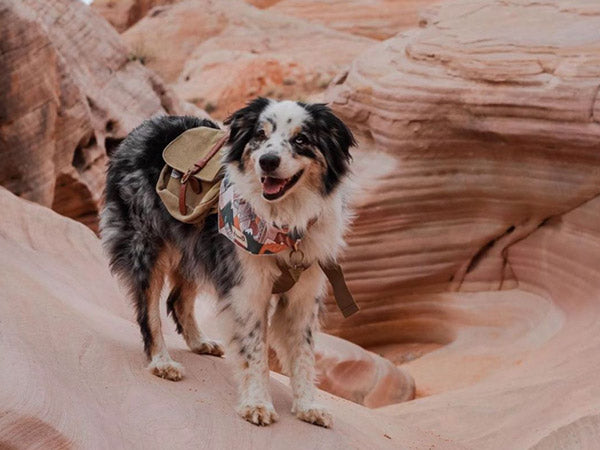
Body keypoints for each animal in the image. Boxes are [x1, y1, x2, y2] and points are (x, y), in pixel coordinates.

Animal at [100, 96, 356, 428]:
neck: (283, 220)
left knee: (178, 299)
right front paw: (257, 404)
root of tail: (142, 128)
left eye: (301, 139)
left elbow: (303, 353)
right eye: (260, 135)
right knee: (149, 310)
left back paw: (199, 342)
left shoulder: (304, 292)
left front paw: (308, 406)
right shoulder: (247, 287)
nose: (268, 161)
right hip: (146, 243)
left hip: (194, 246)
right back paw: (162, 362)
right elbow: (254, 349)